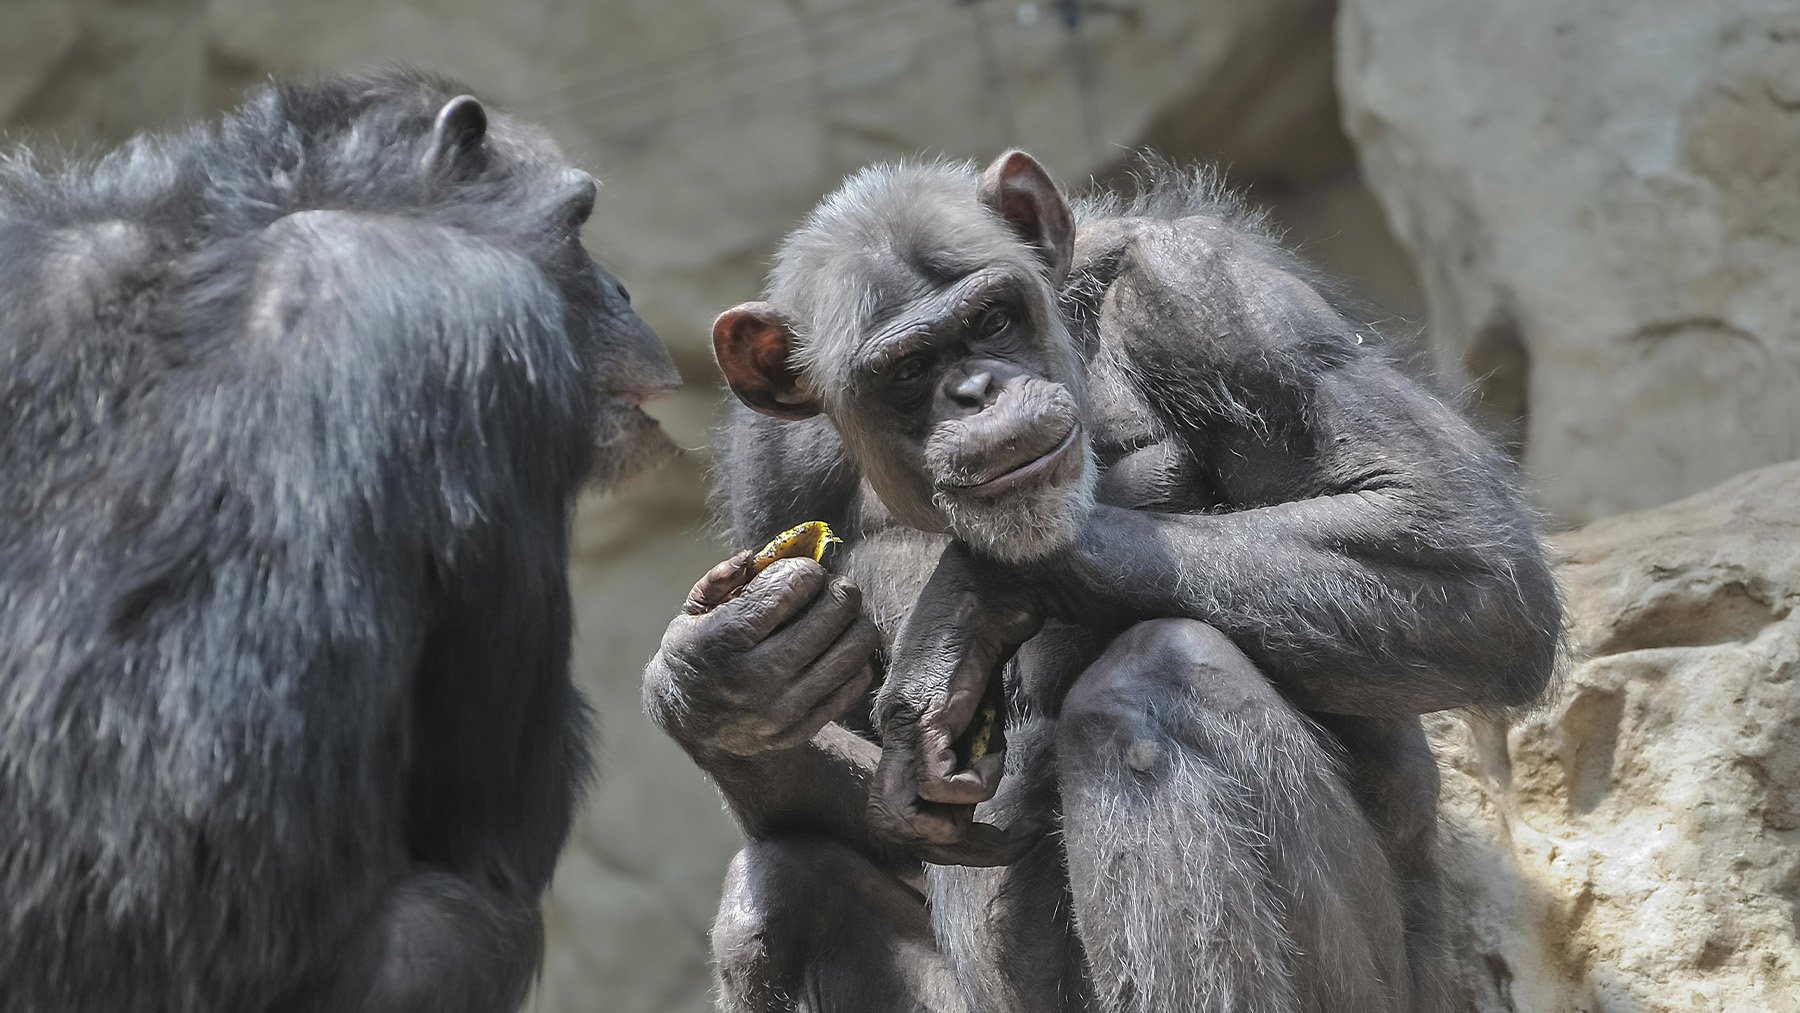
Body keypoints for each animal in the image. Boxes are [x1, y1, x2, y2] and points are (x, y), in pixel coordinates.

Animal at [648, 150, 1562, 1013]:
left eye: (991, 317)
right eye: (906, 370)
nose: (977, 391)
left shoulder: (1208, 291)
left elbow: (1462, 552)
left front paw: (968, 599)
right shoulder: (769, 467)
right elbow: (864, 807)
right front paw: (718, 681)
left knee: (1156, 680)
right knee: (775, 893)